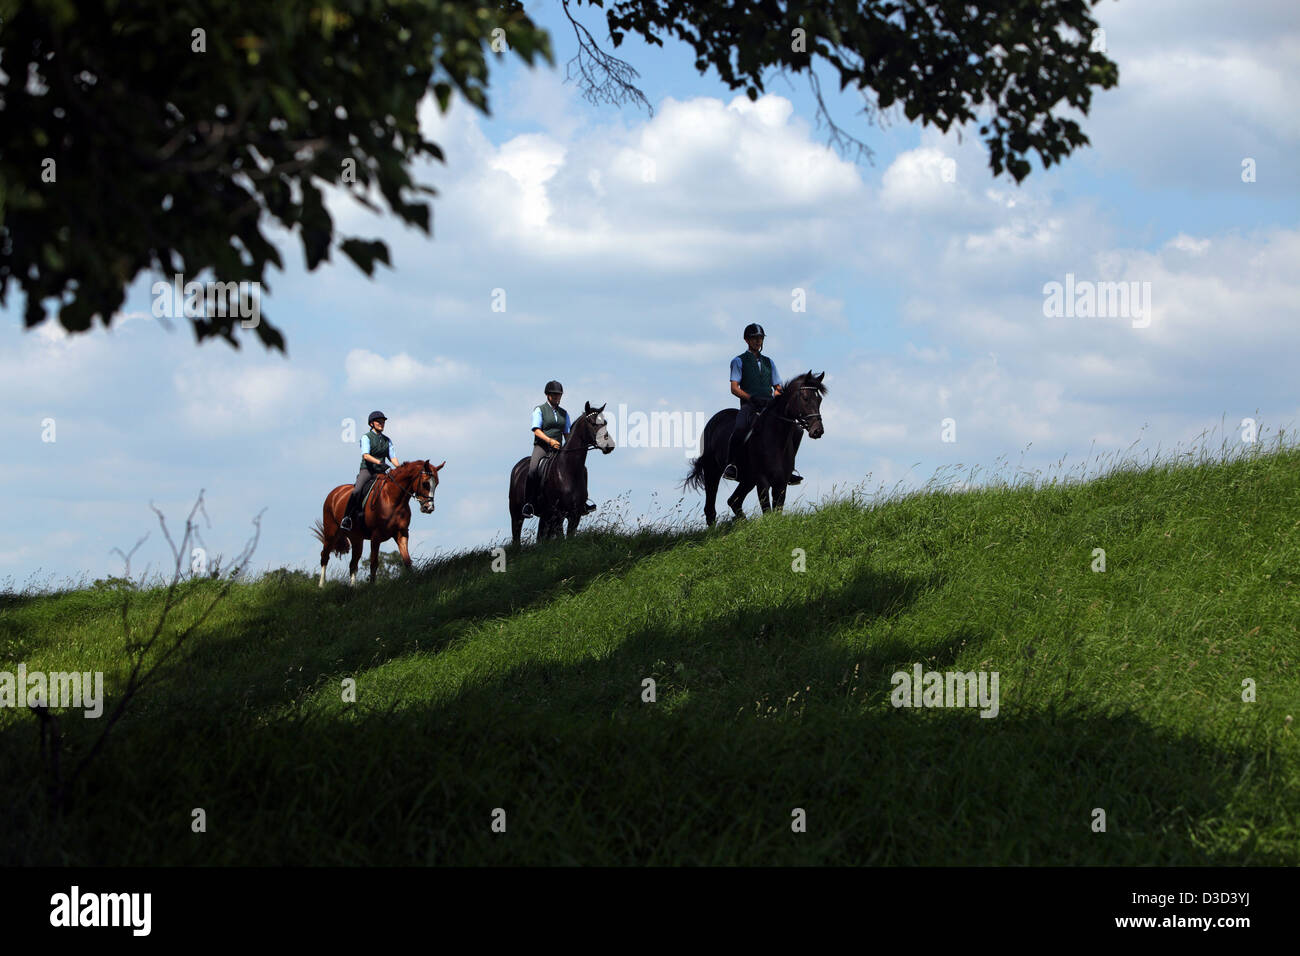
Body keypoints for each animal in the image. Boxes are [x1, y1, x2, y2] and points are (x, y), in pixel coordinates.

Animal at [312, 460, 444, 587]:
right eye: (425, 483)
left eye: (437, 484)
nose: (429, 508)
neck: (392, 499)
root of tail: (335, 492)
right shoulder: (376, 537)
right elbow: (374, 563)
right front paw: (372, 586)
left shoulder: (401, 534)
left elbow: (407, 560)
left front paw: (412, 581)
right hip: (331, 533)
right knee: (325, 556)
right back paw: (321, 585)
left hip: (356, 538)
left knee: (353, 563)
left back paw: (352, 587)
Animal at [506, 403, 613, 546]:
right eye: (592, 423)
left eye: (605, 422)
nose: (609, 445)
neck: (568, 469)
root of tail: (518, 467)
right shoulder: (559, 514)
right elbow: (562, 539)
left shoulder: (575, 515)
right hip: (516, 514)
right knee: (516, 537)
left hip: (545, 516)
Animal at [686, 371, 826, 522]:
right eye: (805, 398)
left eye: (819, 400)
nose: (818, 431)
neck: (775, 438)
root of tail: (715, 419)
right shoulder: (762, 480)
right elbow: (767, 511)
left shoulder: (781, 483)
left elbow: (777, 512)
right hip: (712, 471)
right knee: (711, 509)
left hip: (747, 480)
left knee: (734, 501)